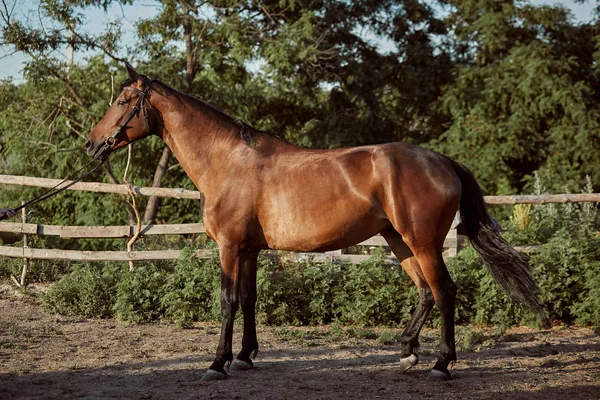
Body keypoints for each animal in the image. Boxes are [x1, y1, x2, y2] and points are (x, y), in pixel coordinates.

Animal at [86, 65, 548, 382]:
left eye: (123, 101)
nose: (91, 144)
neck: (228, 160)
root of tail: (443, 161)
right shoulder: (249, 249)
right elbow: (250, 299)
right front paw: (245, 356)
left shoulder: (230, 247)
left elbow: (228, 300)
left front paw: (217, 363)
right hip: (400, 242)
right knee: (425, 292)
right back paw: (407, 351)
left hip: (422, 242)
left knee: (445, 292)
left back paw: (441, 364)